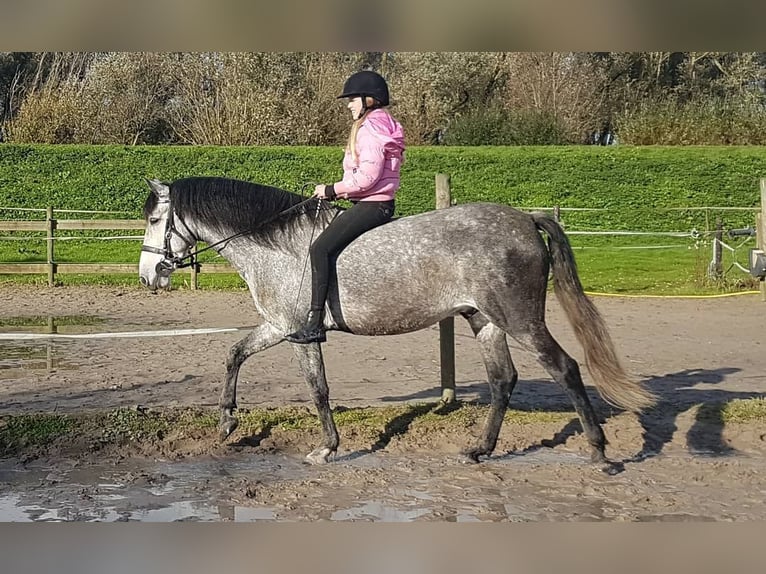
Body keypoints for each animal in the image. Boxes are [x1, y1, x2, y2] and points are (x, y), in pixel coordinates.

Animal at [138, 177, 656, 472]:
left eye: (155, 218)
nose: (149, 275)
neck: (276, 246)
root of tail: (526, 219)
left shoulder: (297, 332)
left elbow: (318, 389)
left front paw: (327, 449)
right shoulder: (277, 326)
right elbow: (234, 354)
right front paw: (227, 422)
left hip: (519, 319)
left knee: (565, 368)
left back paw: (600, 454)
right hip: (485, 320)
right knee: (503, 380)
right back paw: (479, 450)